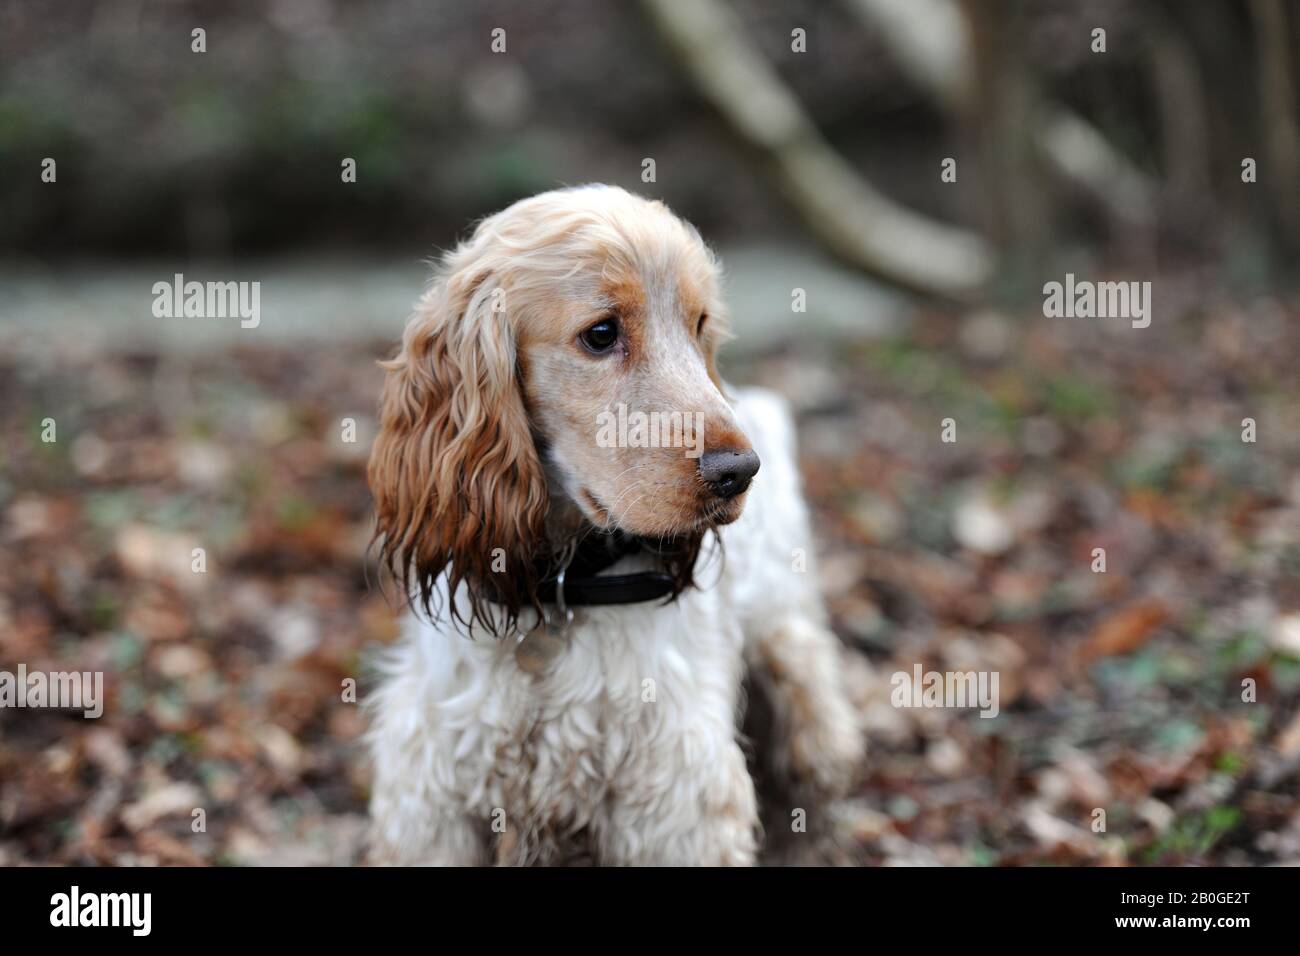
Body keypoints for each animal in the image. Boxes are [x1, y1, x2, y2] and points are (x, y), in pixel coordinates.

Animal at [366, 183, 863, 863]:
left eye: (699, 325)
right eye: (601, 334)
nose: (740, 471)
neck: (563, 589)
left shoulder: (676, 801)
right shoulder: (430, 792)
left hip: (793, 659)